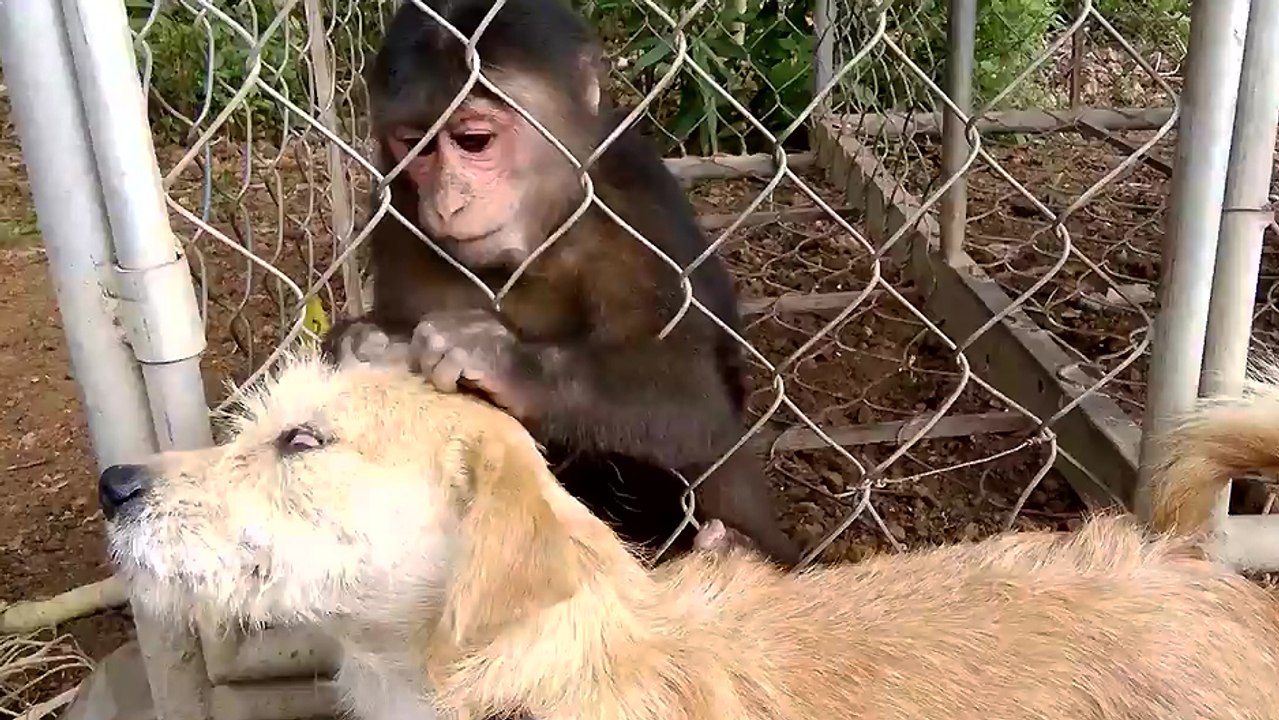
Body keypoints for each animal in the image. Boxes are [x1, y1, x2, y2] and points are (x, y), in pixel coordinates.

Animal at [322, 0, 800, 568]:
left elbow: (694, 400)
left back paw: (737, 549)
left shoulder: (632, 210)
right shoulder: (399, 212)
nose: (448, 200)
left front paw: (501, 359)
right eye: (416, 146)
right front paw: (363, 342)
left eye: (474, 142)